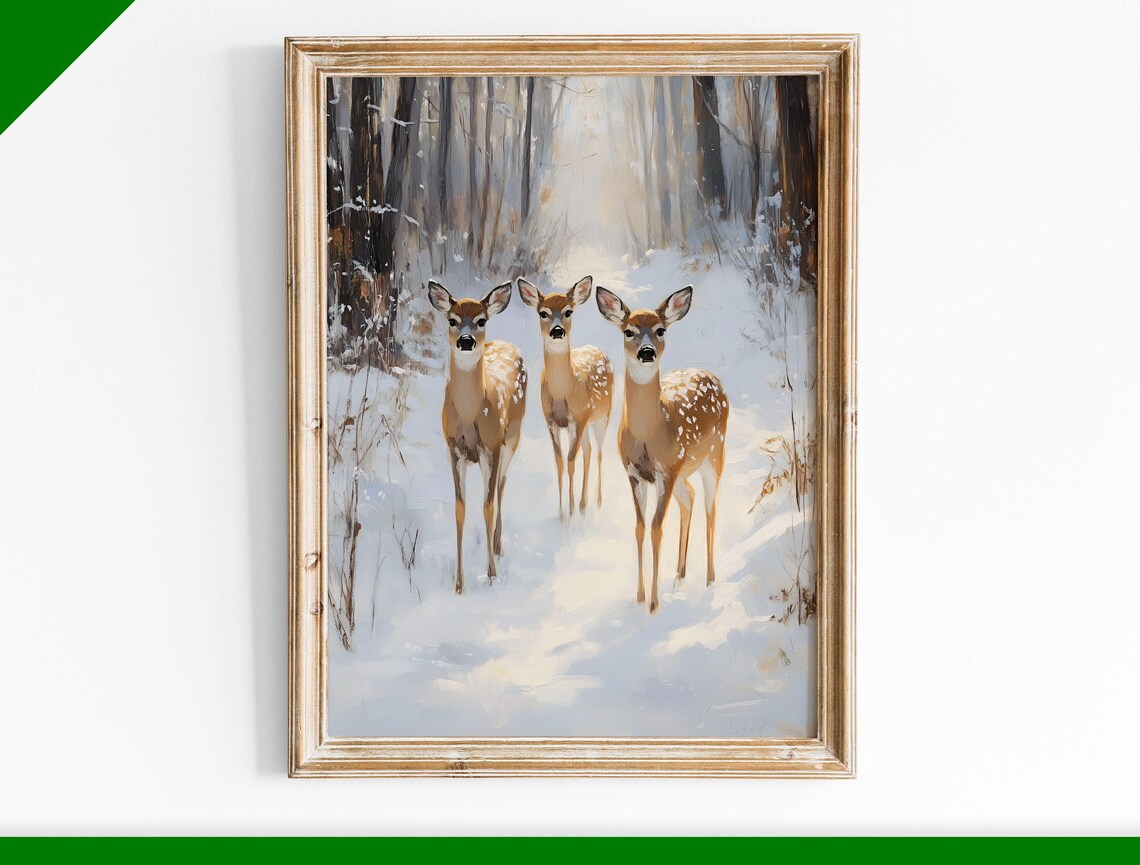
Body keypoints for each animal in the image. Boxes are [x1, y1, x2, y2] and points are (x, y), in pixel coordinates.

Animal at [428, 280, 527, 594]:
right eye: (452, 320)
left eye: (481, 320)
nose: (466, 340)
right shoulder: (453, 450)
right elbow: (461, 509)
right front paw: (459, 585)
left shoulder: (490, 448)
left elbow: (487, 506)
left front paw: (492, 575)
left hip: (512, 438)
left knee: (501, 486)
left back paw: (497, 546)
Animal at [517, 275, 614, 518]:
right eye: (542, 313)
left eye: (568, 311)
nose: (557, 331)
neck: (563, 393)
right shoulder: (551, 420)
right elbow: (560, 461)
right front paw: (562, 512)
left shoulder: (577, 419)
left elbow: (570, 460)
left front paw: (569, 511)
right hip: (586, 423)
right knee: (588, 452)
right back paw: (583, 503)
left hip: (602, 417)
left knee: (598, 453)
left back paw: (598, 501)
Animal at [595, 284, 730, 613]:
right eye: (628, 331)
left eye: (660, 330)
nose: (647, 352)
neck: (649, 434)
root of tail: (713, 377)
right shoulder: (636, 474)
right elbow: (640, 528)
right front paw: (640, 596)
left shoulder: (665, 471)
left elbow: (657, 528)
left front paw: (654, 603)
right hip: (683, 471)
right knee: (689, 499)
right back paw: (679, 577)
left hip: (713, 456)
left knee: (710, 508)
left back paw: (710, 580)